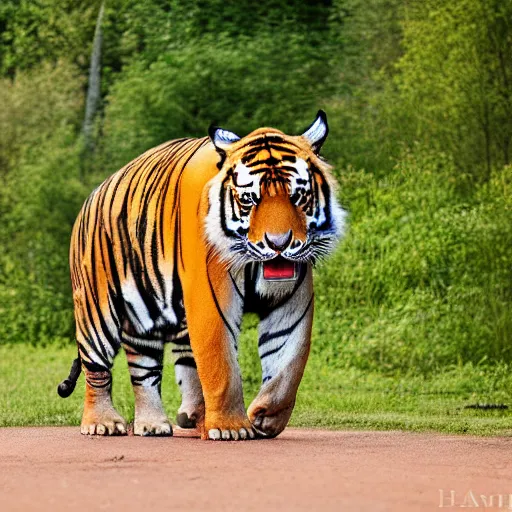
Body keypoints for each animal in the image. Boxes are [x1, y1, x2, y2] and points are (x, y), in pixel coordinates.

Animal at [58, 111, 346, 440]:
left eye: (299, 197)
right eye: (249, 200)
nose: (279, 244)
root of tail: (92, 195)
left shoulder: (291, 303)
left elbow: (288, 365)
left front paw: (264, 418)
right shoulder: (211, 298)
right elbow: (221, 365)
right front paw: (232, 428)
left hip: (146, 318)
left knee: (147, 370)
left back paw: (164, 423)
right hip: (97, 309)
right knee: (97, 367)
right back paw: (103, 422)